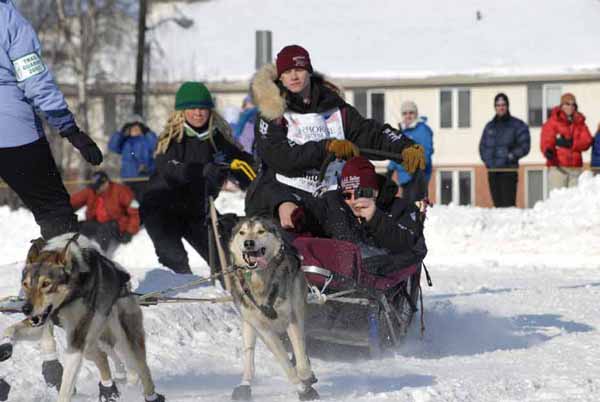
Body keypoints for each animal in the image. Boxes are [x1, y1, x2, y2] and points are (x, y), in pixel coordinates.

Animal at [0, 232, 164, 402]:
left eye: (46, 284)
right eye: (25, 284)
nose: (25, 308)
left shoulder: (76, 340)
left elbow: (66, 386)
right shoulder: (44, 323)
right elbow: (11, 329)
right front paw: (5, 346)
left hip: (123, 336)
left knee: (142, 368)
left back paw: (150, 395)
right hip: (94, 340)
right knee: (103, 356)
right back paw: (111, 385)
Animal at [227, 218, 318, 400]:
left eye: (261, 231)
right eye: (242, 232)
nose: (248, 243)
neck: (259, 281)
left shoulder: (292, 319)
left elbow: (300, 356)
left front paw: (306, 378)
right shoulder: (264, 329)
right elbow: (285, 363)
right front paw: (301, 388)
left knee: (302, 348)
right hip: (249, 324)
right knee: (249, 358)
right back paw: (245, 385)